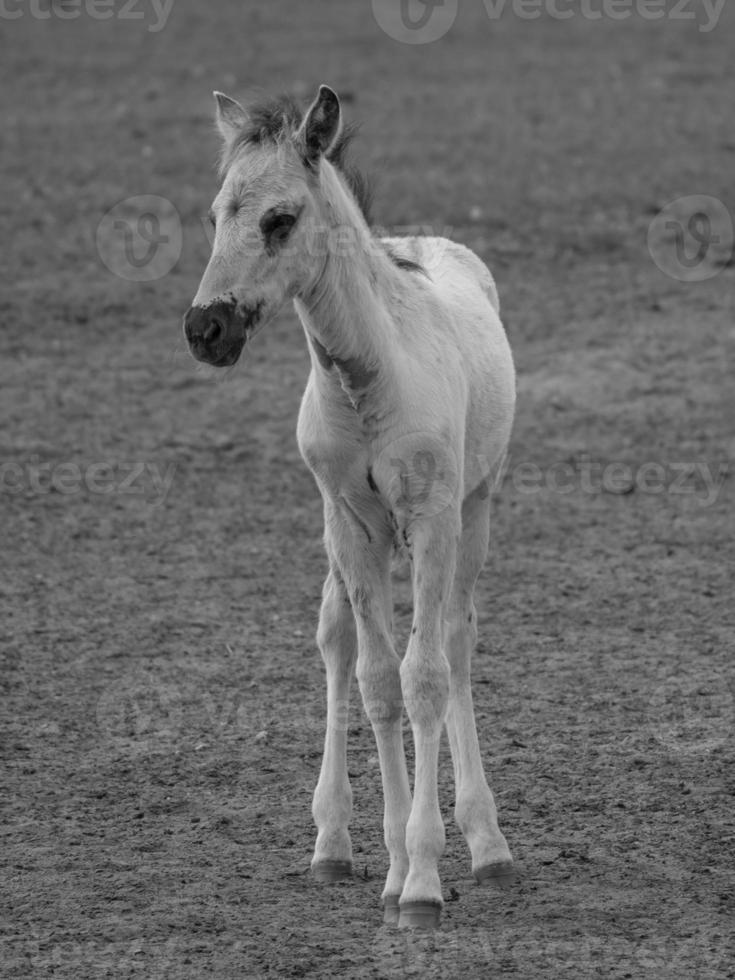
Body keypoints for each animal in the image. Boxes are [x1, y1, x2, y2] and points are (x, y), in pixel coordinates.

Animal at [184, 84, 516, 928]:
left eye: (279, 219)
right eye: (216, 214)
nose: (205, 328)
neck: (368, 377)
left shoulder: (431, 518)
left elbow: (424, 676)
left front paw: (424, 879)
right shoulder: (353, 523)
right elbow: (375, 680)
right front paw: (395, 869)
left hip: (475, 511)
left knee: (456, 641)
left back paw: (489, 845)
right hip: (337, 538)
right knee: (335, 638)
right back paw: (331, 844)